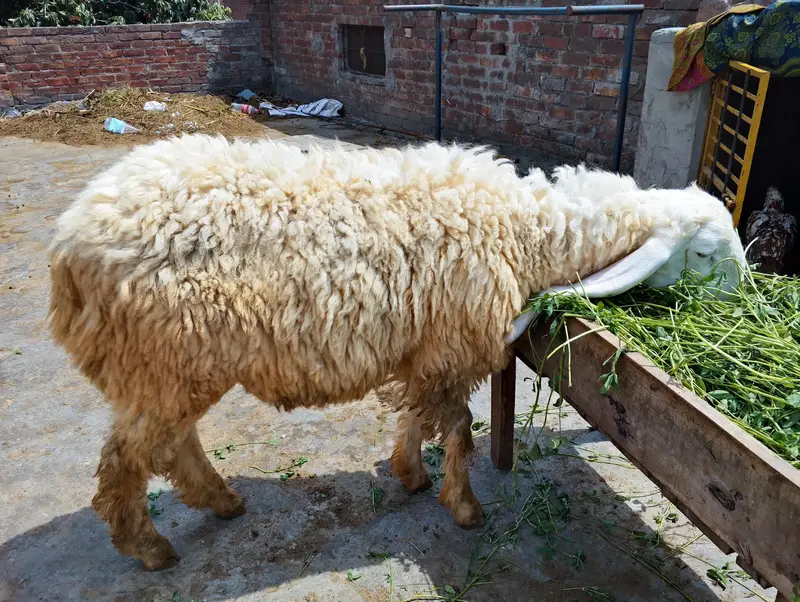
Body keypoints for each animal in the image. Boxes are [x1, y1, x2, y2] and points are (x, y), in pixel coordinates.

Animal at [47, 134, 747, 571]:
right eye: (705, 253)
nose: (752, 297)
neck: (526, 228)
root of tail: (69, 242)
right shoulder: (452, 346)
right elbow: (459, 429)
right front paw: (464, 508)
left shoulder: (426, 347)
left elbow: (416, 415)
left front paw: (409, 473)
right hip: (163, 360)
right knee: (127, 459)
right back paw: (148, 547)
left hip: (170, 367)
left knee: (170, 444)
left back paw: (221, 501)